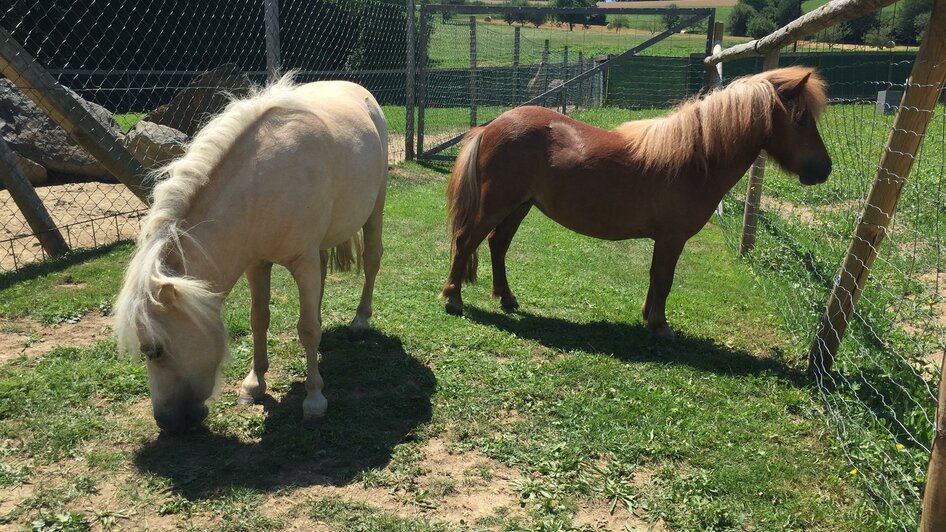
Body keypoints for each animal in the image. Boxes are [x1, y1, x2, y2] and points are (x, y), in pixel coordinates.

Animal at [114, 77, 388, 434]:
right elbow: (260, 318)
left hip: (375, 209)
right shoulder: (257, 263)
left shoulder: (302, 261)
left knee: (371, 261)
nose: (166, 422)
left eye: (154, 351)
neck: (262, 184)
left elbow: (307, 329)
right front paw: (254, 384)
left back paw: (360, 321)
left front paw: (314, 400)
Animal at [442, 66, 824, 338]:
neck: (695, 159)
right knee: (465, 241)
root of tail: (491, 126)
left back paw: (506, 297)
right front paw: (660, 325)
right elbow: (664, 279)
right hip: (495, 206)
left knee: (498, 245)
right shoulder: (672, 238)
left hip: (519, 206)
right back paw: (453, 298)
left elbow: (656, 277)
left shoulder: (664, 239)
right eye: (802, 119)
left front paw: (648, 318)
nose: (824, 168)